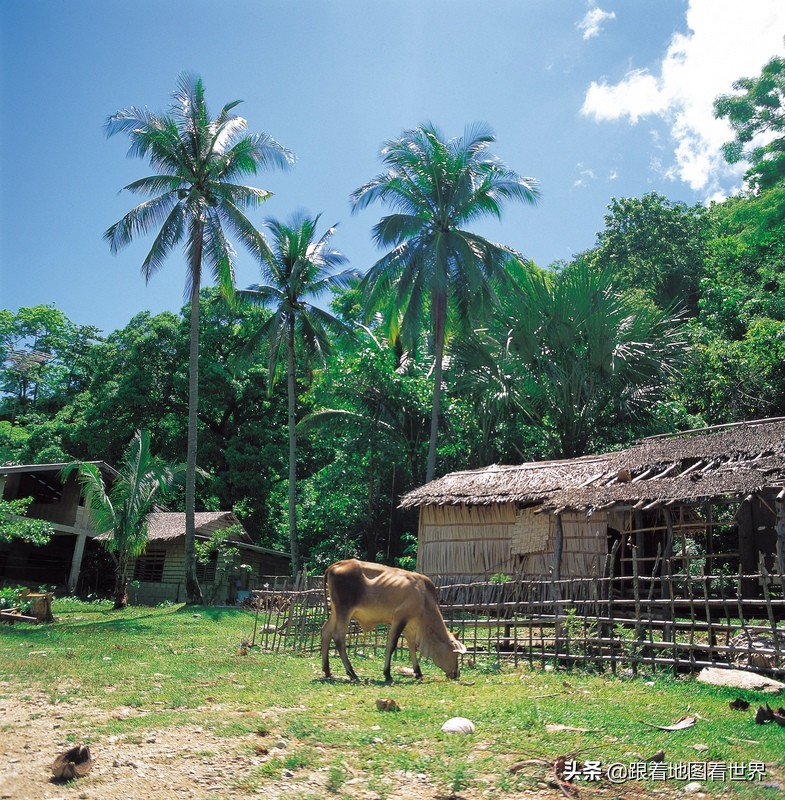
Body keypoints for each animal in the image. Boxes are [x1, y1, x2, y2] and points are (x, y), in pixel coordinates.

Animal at [320, 556, 466, 680]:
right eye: (455, 654)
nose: (456, 673)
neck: (424, 597)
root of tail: (335, 565)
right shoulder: (399, 619)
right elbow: (392, 644)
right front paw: (387, 673)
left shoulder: (410, 625)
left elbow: (412, 646)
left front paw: (418, 672)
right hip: (344, 610)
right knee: (339, 637)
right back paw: (352, 673)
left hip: (335, 611)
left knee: (326, 632)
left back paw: (327, 671)